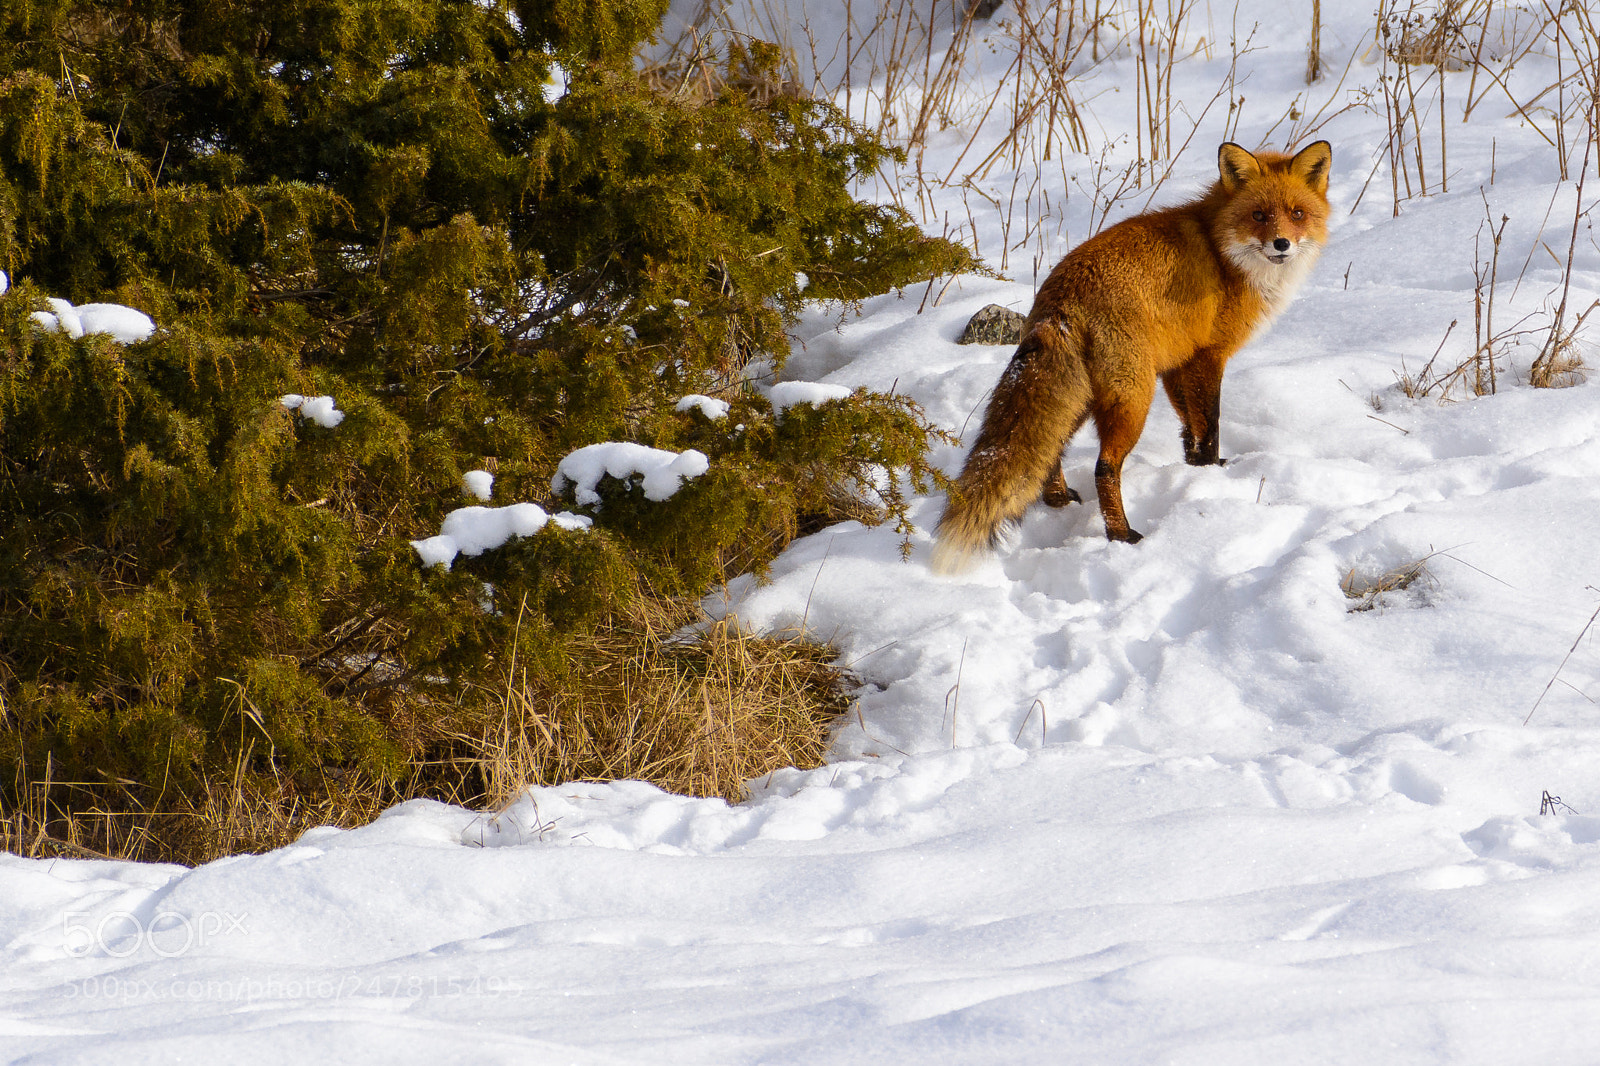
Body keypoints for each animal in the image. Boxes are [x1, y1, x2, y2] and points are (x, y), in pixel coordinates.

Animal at [930, 140, 1333, 573]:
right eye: (1259, 215)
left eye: (1297, 214)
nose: (1282, 244)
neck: (1222, 253)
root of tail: (1060, 301)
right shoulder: (1209, 355)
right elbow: (1210, 423)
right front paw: (1211, 470)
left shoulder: (1176, 362)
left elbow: (1188, 425)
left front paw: (1194, 465)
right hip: (1133, 398)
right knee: (1104, 469)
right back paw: (1121, 535)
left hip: (1083, 397)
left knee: (1051, 450)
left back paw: (1057, 499)